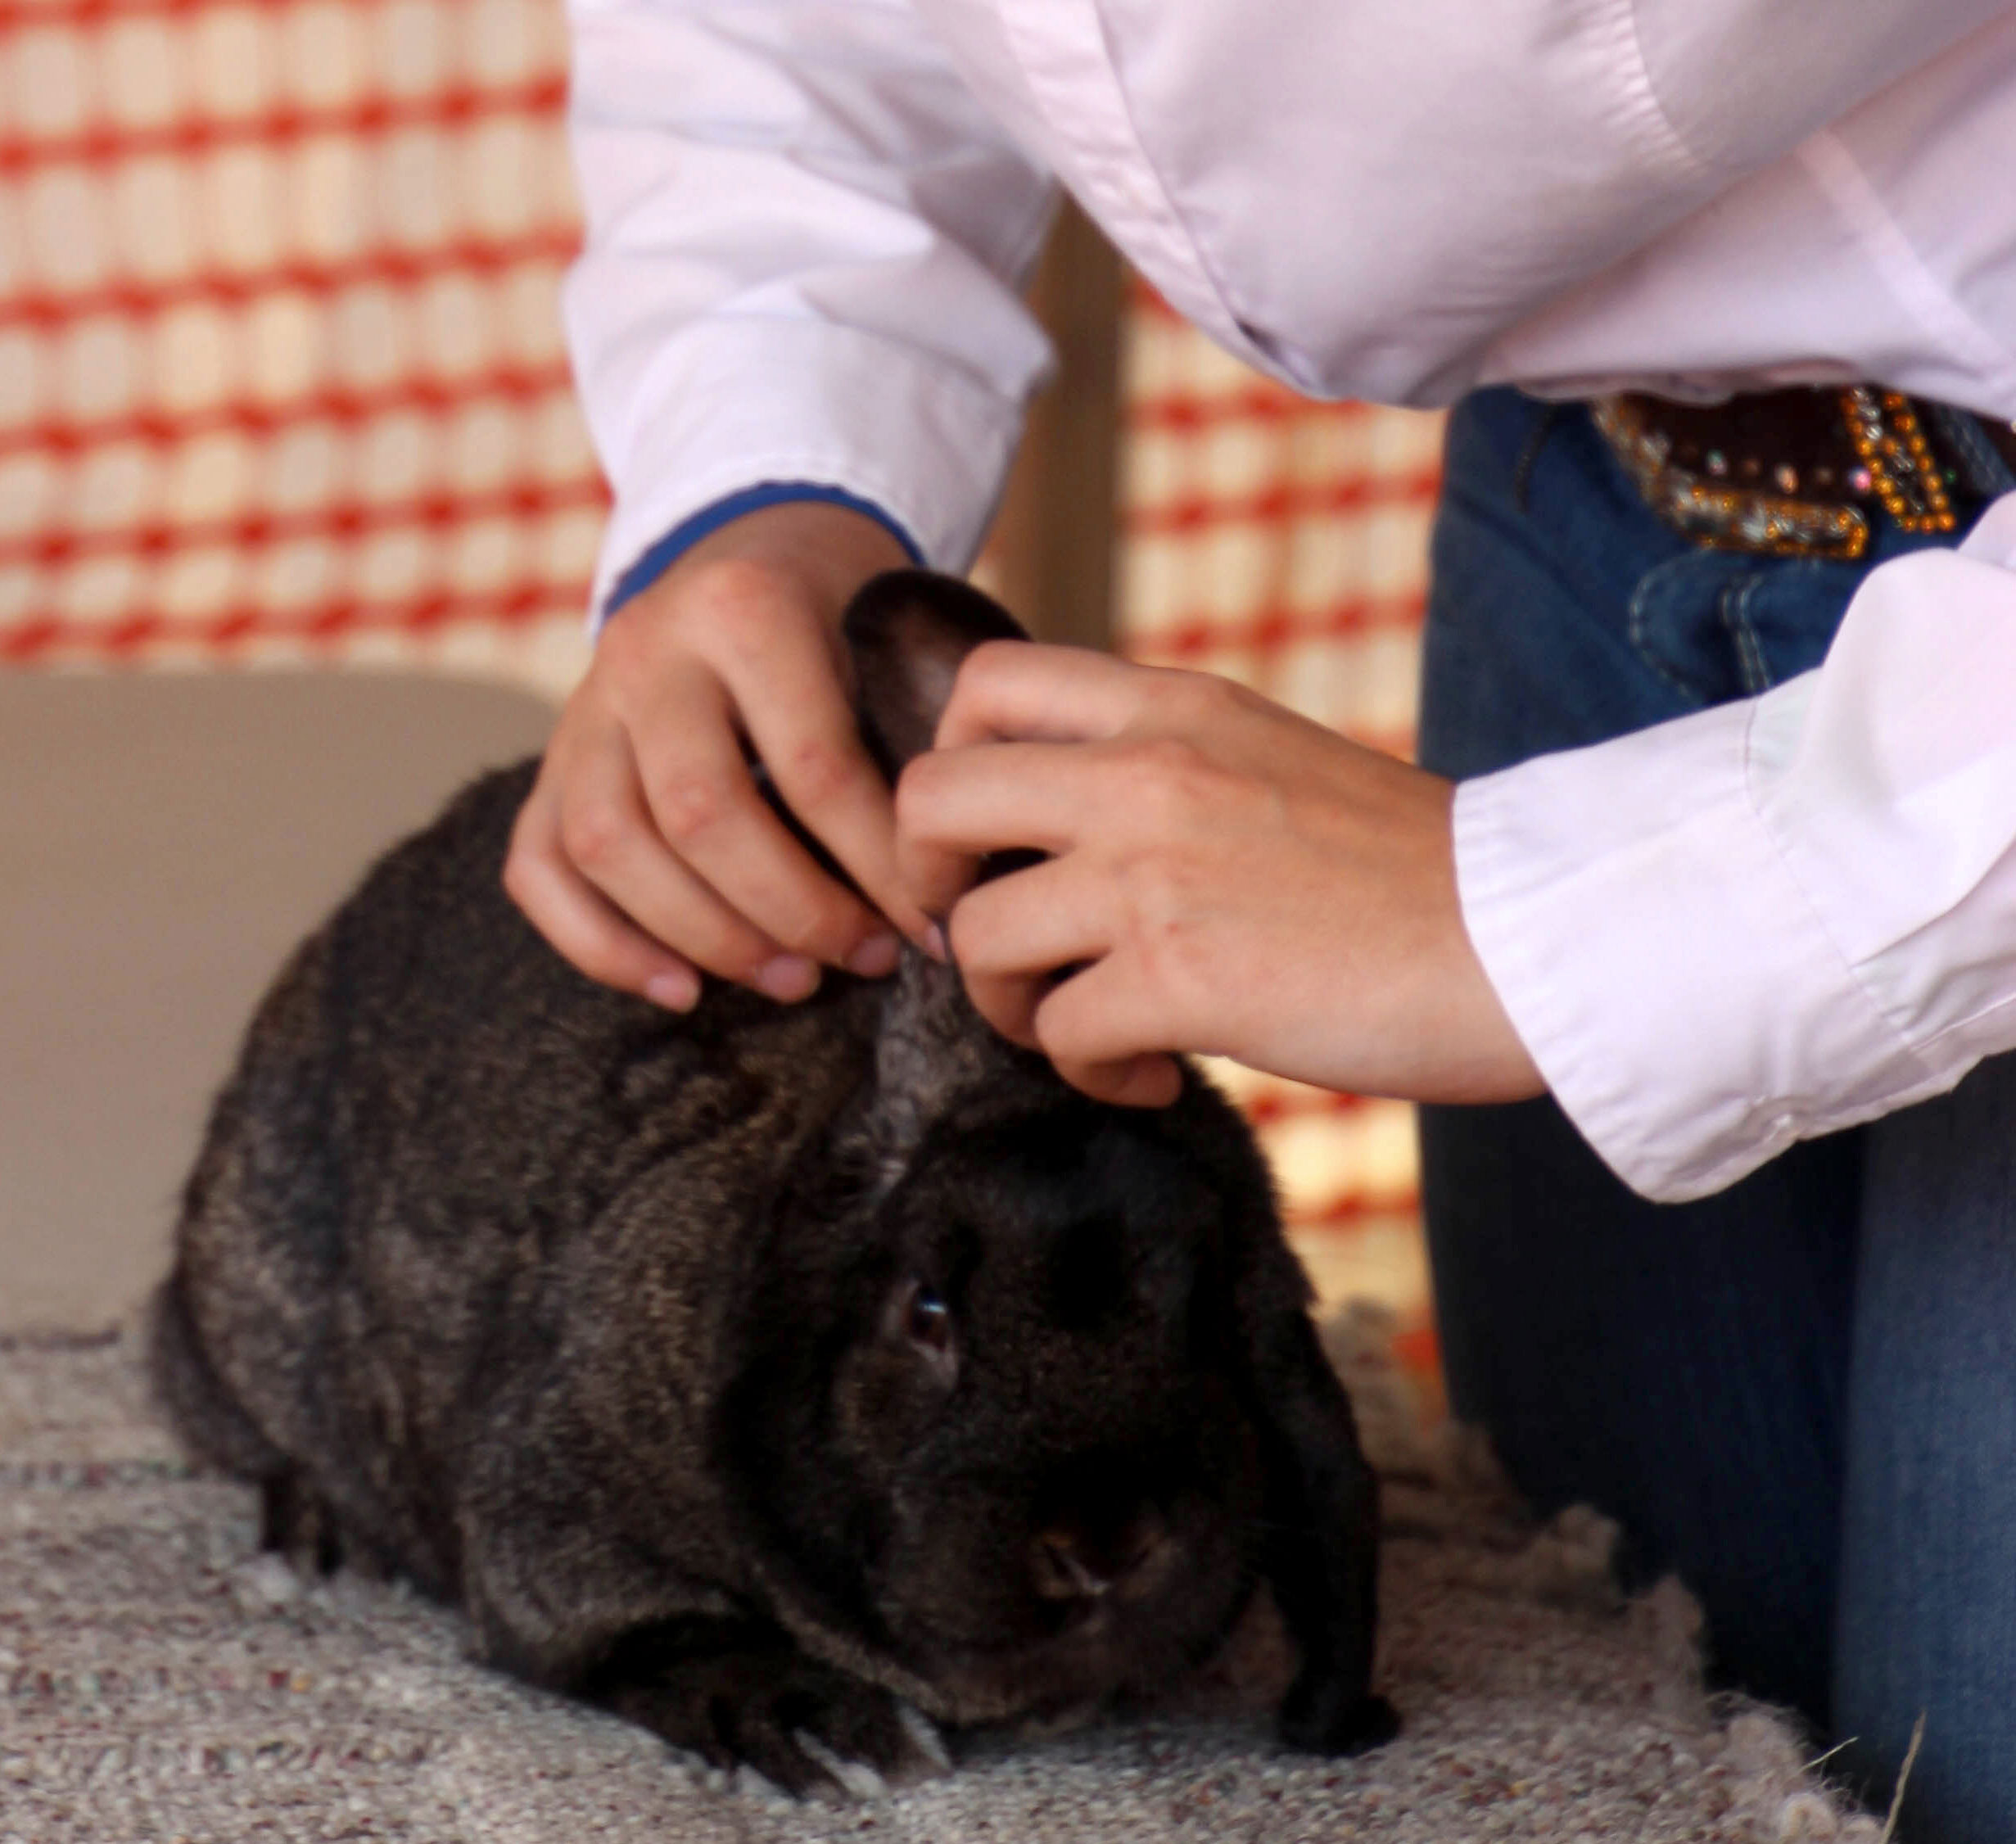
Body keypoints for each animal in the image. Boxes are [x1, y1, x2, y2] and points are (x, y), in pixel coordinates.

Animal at [149, 568, 1394, 1797]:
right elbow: (635, 1630)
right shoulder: (557, 1517)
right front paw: (819, 1727)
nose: (1103, 1548)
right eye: (925, 1313)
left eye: (1208, 1312)